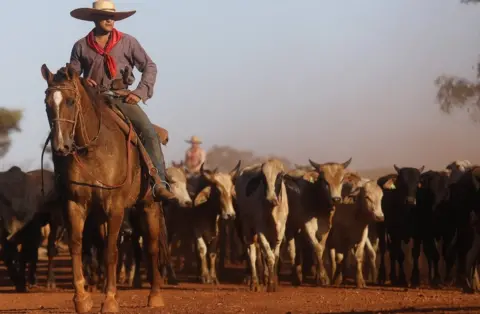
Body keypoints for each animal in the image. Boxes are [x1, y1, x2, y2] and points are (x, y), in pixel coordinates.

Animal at [40, 64, 171, 314]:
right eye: (47, 103)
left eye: (71, 101)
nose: (61, 146)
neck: (92, 149)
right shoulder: (75, 204)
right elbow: (77, 246)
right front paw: (82, 298)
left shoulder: (115, 207)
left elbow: (111, 251)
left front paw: (109, 300)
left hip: (148, 205)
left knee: (151, 247)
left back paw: (155, 295)